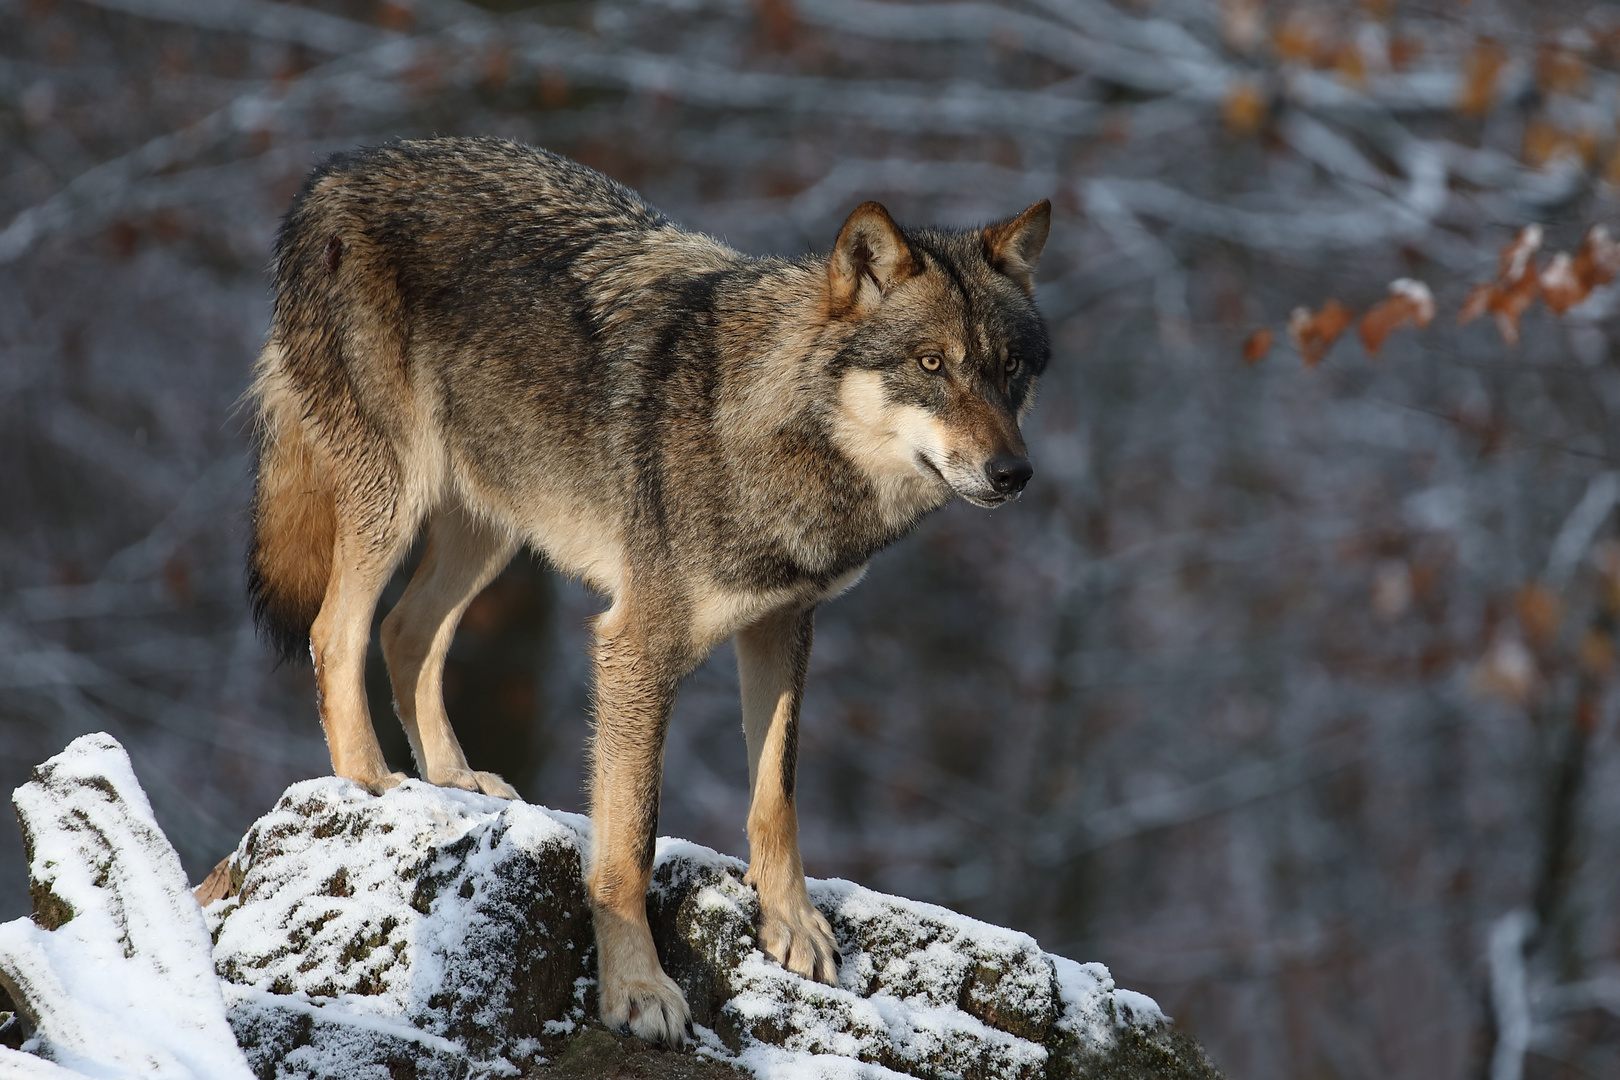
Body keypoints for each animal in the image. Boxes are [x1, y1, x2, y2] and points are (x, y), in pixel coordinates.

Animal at [243, 135, 1049, 1049]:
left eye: (1010, 369)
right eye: (931, 364)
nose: (1014, 473)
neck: (766, 426)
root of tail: (333, 173)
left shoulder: (784, 627)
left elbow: (777, 793)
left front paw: (793, 926)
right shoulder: (636, 645)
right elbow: (629, 841)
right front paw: (637, 991)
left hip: (491, 520)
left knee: (407, 632)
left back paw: (453, 780)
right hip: (396, 497)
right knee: (335, 632)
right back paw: (372, 782)